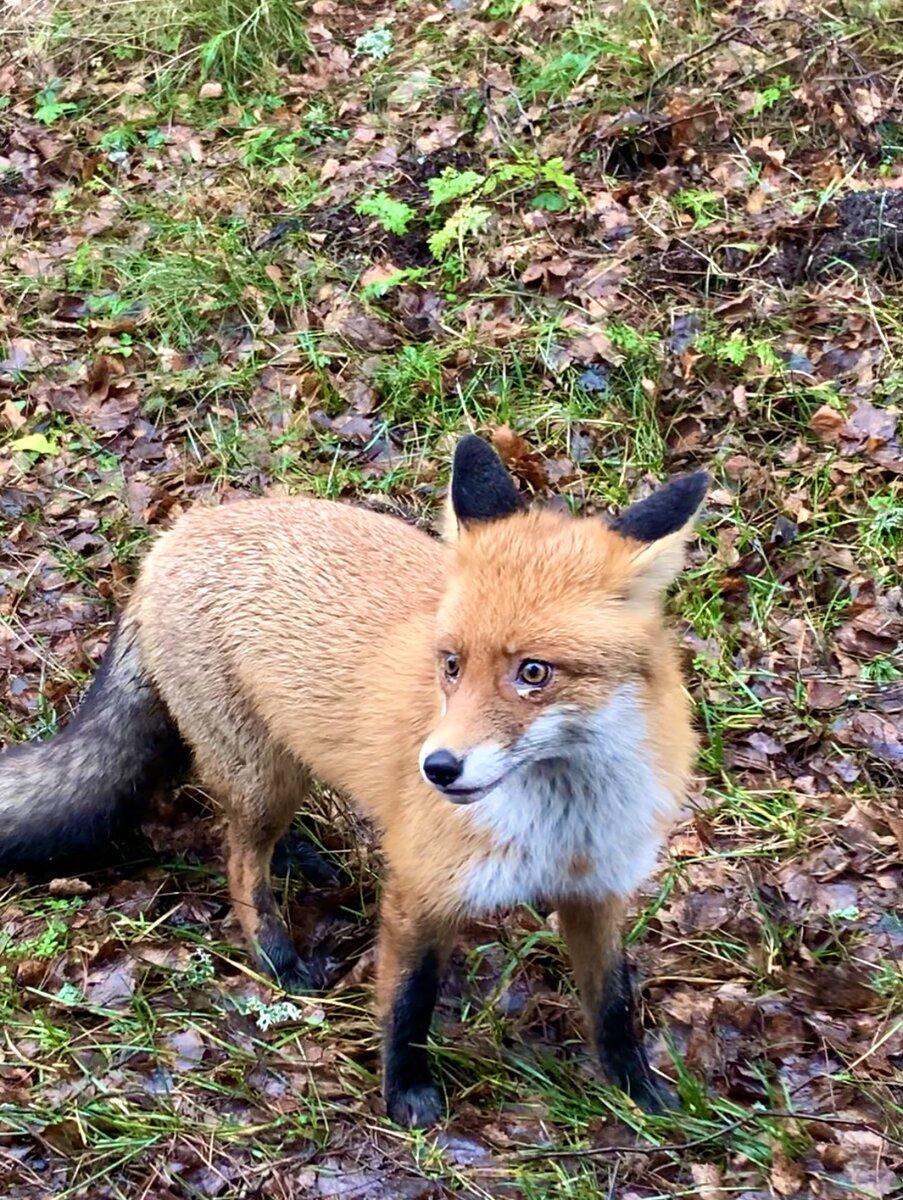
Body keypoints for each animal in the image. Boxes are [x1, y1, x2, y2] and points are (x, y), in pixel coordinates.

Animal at [0, 436, 706, 1128]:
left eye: (534, 673)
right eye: (451, 665)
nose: (437, 768)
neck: (562, 825)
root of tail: (178, 533)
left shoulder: (600, 892)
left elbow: (614, 1005)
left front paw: (640, 1093)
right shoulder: (422, 889)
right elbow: (408, 1003)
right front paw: (405, 1094)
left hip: (284, 765)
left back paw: (302, 859)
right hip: (264, 777)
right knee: (239, 862)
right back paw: (277, 956)